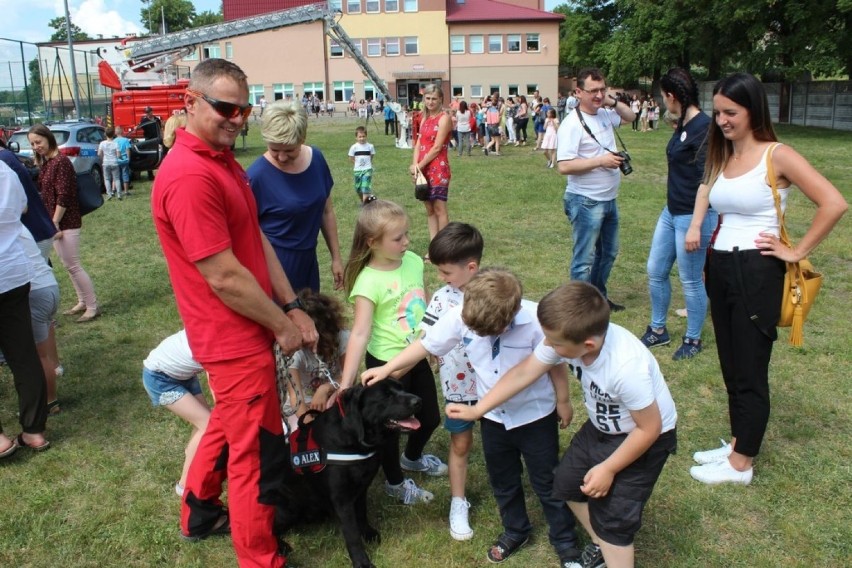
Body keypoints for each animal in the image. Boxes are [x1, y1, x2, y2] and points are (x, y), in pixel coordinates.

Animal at [276, 378, 422, 568]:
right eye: (386, 396)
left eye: (402, 389)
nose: (418, 401)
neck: (352, 437)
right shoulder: (342, 499)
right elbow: (352, 534)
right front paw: (362, 561)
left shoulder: (361, 489)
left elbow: (361, 515)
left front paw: (367, 533)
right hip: (287, 509)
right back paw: (282, 546)